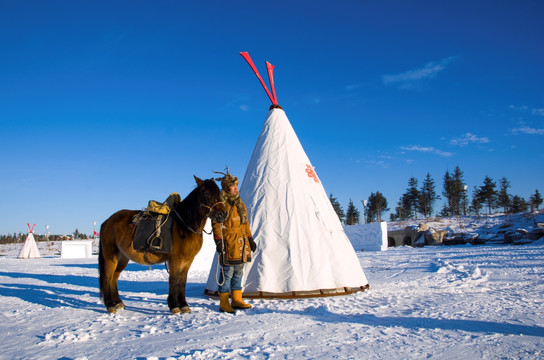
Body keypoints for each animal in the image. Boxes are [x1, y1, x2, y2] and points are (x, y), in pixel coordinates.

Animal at [98, 176, 225, 314]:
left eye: (219, 193)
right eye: (206, 194)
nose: (222, 214)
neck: (184, 225)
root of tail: (107, 222)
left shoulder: (188, 259)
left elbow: (182, 281)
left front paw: (184, 305)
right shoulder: (175, 259)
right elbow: (174, 280)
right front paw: (174, 305)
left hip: (122, 257)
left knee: (114, 278)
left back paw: (118, 303)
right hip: (111, 256)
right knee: (107, 278)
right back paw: (110, 305)